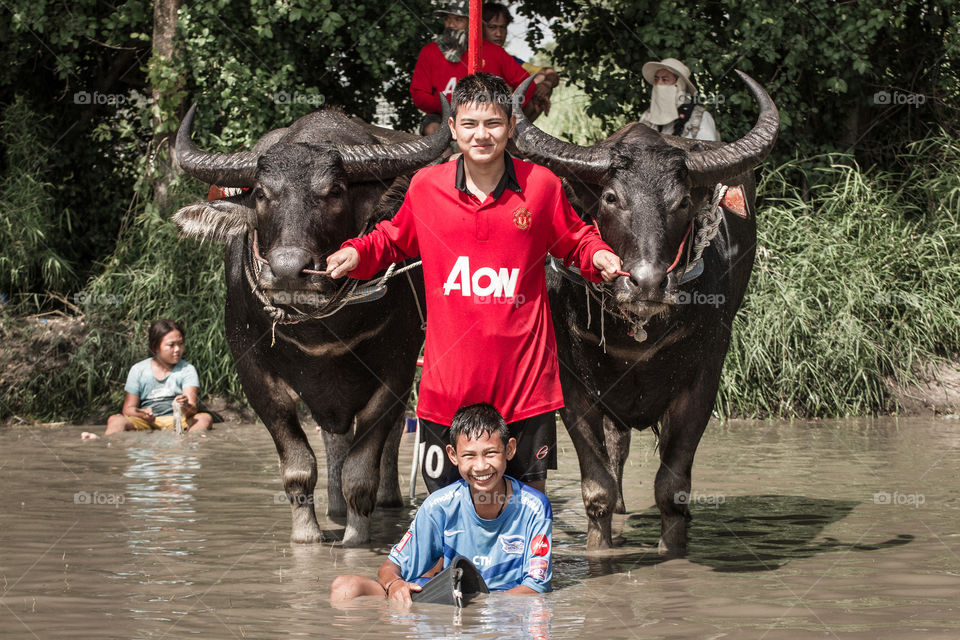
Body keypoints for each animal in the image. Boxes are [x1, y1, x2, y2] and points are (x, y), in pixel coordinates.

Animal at [172, 105, 450, 544]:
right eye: (262, 194)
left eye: (334, 191)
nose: (288, 270)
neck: (319, 331)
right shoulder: (254, 375)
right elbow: (299, 465)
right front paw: (307, 536)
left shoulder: (397, 370)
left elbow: (362, 468)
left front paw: (355, 539)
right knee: (334, 438)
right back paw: (334, 507)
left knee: (384, 443)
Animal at [510, 71, 780, 556]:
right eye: (611, 197)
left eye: (682, 202)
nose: (648, 282)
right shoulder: (572, 383)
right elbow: (596, 485)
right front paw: (600, 548)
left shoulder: (703, 378)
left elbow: (671, 488)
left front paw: (672, 550)